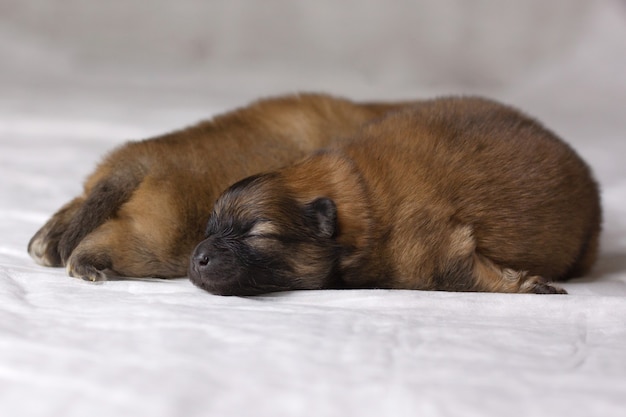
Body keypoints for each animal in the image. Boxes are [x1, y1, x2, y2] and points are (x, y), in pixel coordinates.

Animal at [28, 92, 410, 280]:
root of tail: (141, 159)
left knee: (77, 211)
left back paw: (45, 244)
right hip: (157, 243)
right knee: (102, 242)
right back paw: (83, 266)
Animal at [190, 95, 600, 296]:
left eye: (257, 234)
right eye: (210, 229)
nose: (196, 257)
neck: (358, 199)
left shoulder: (434, 250)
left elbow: (458, 274)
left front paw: (528, 284)